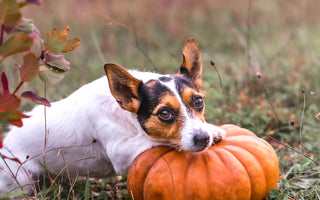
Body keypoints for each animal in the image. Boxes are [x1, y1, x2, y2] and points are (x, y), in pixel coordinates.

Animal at [0, 38, 225, 194]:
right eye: (164, 113)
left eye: (198, 102)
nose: (203, 138)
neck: (128, 118)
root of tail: (6, 141)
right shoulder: (121, 151)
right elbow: (155, 140)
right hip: (21, 181)